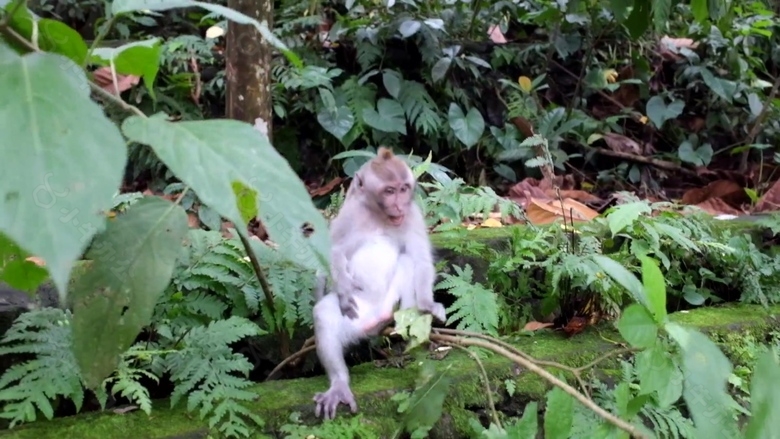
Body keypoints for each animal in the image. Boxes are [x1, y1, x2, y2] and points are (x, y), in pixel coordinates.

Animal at [310, 148, 444, 420]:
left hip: (390, 302)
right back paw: (339, 384)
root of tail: (374, 319)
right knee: (324, 314)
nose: (399, 205)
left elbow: (421, 259)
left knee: (407, 261)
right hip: (356, 318)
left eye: (404, 189)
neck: (380, 217)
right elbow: (332, 255)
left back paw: (409, 316)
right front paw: (342, 291)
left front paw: (428, 304)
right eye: (389, 191)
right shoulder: (349, 216)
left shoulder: (412, 216)